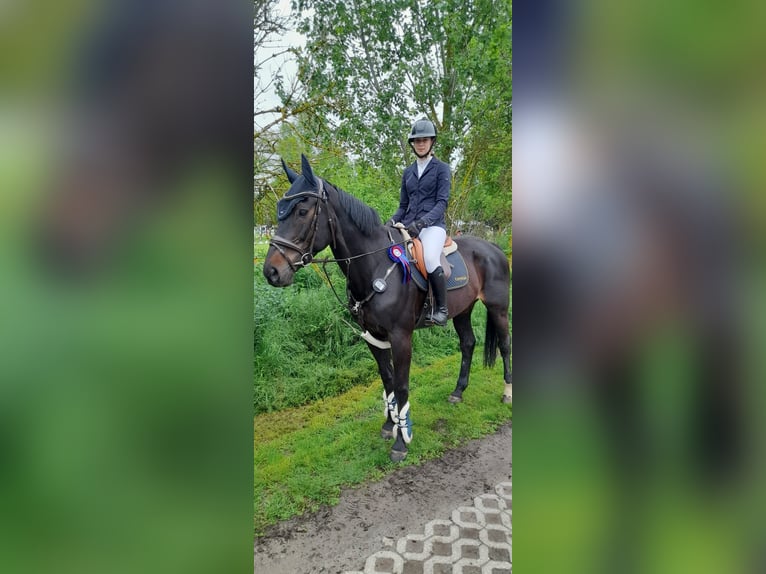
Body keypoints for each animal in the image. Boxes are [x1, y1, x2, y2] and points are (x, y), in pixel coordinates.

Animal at [263, 154, 512, 462]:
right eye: (279, 209)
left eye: (302, 210)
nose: (272, 272)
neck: (375, 266)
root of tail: (493, 248)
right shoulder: (374, 336)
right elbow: (388, 379)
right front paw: (389, 424)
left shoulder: (401, 337)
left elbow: (402, 384)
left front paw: (401, 441)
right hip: (462, 311)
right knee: (468, 343)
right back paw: (458, 392)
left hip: (498, 308)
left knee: (504, 345)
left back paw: (507, 393)